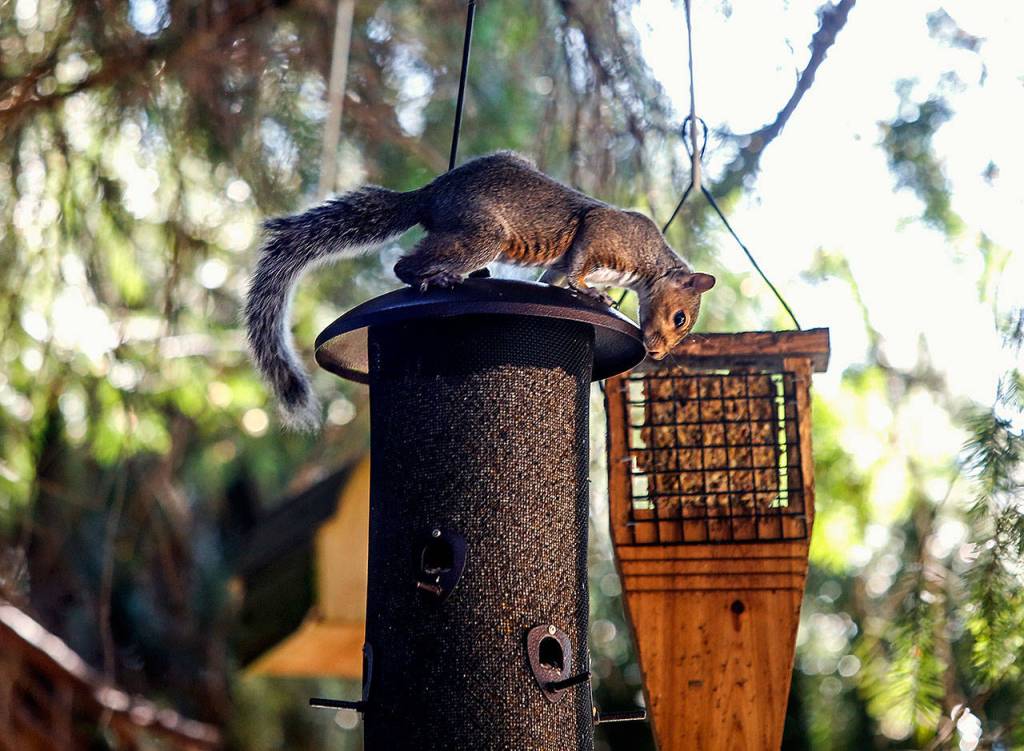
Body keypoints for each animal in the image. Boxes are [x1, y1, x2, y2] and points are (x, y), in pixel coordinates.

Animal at [245, 151, 715, 430]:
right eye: (680, 318)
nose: (658, 352)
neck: (648, 262)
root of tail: (430, 194)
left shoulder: (560, 263)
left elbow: (555, 276)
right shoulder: (603, 231)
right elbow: (580, 265)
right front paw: (594, 293)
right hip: (484, 232)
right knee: (406, 264)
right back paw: (434, 278)